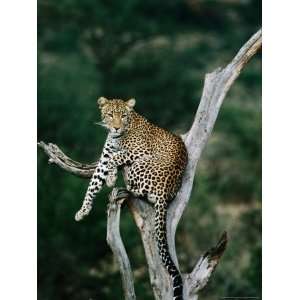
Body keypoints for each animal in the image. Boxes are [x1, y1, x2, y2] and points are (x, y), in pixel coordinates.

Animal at [75, 97, 188, 298]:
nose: (116, 128)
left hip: (140, 164)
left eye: (123, 116)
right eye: (110, 114)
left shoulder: (139, 151)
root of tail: (165, 192)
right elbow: (93, 183)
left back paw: (120, 188)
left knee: (136, 190)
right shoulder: (103, 159)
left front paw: (111, 178)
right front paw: (83, 210)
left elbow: (116, 158)